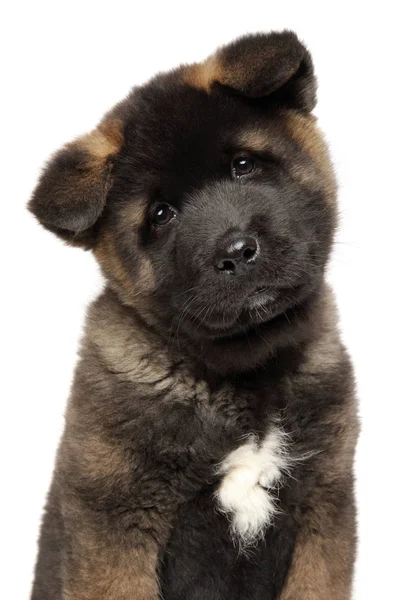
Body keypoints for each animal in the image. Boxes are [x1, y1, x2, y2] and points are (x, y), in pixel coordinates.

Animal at [28, 29, 360, 600]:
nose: (235, 252)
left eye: (243, 166)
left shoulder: (326, 503)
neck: (245, 376)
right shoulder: (116, 522)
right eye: (162, 214)